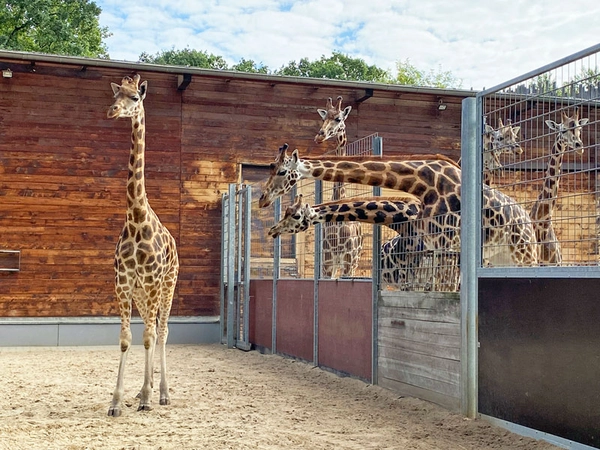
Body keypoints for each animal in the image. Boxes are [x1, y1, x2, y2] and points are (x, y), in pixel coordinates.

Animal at [258, 143, 540, 268]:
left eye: (282, 171)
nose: (262, 199)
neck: (424, 184)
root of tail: (527, 220)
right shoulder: (431, 248)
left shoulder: (446, 246)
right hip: (500, 258)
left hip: (525, 254)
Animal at [314, 96, 360, 276]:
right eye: (323, 118)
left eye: (338, 118)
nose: (319, 136)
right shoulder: (327, 260)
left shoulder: (348, 259)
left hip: (355, 261)